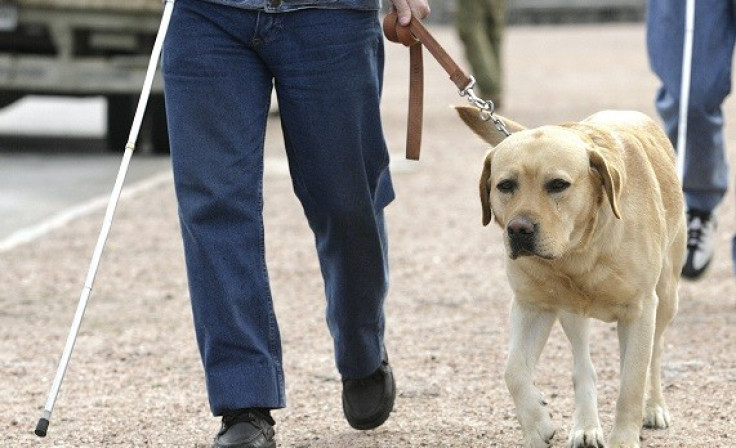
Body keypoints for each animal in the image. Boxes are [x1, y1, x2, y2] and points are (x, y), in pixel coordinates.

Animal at [458, 106, 688, 448]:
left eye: (557, 184)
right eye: (506, 185)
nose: (519, 230)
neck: (578, 252)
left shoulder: (640, 309)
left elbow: (632, 382)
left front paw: (623, 438)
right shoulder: (532, 306)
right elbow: (514, 371)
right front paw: (538, 423)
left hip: (667, 298)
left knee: (654, 355)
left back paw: (655, 407)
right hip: (572, 314)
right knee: (583, 367)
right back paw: (586, 427)